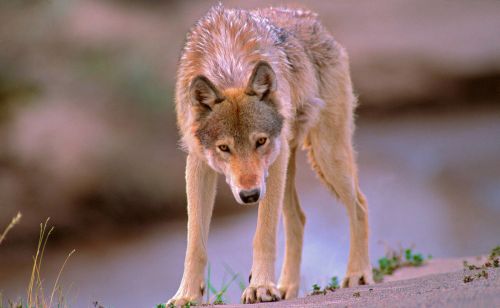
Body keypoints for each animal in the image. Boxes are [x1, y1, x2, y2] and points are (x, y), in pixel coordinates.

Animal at [168, 4, 372, 306]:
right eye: (224, 148)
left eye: (260, 141)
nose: (249, 195)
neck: (229, 64)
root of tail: (314, 21)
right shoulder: (197, 163)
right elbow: (195, 243)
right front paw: (187, 296)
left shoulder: (275, 157)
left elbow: (263, 233)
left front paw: (261, 287)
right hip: (287, 170)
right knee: (298, 219)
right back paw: (287, 287)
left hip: (324, 156)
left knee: (359, 204)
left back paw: (358, 273)